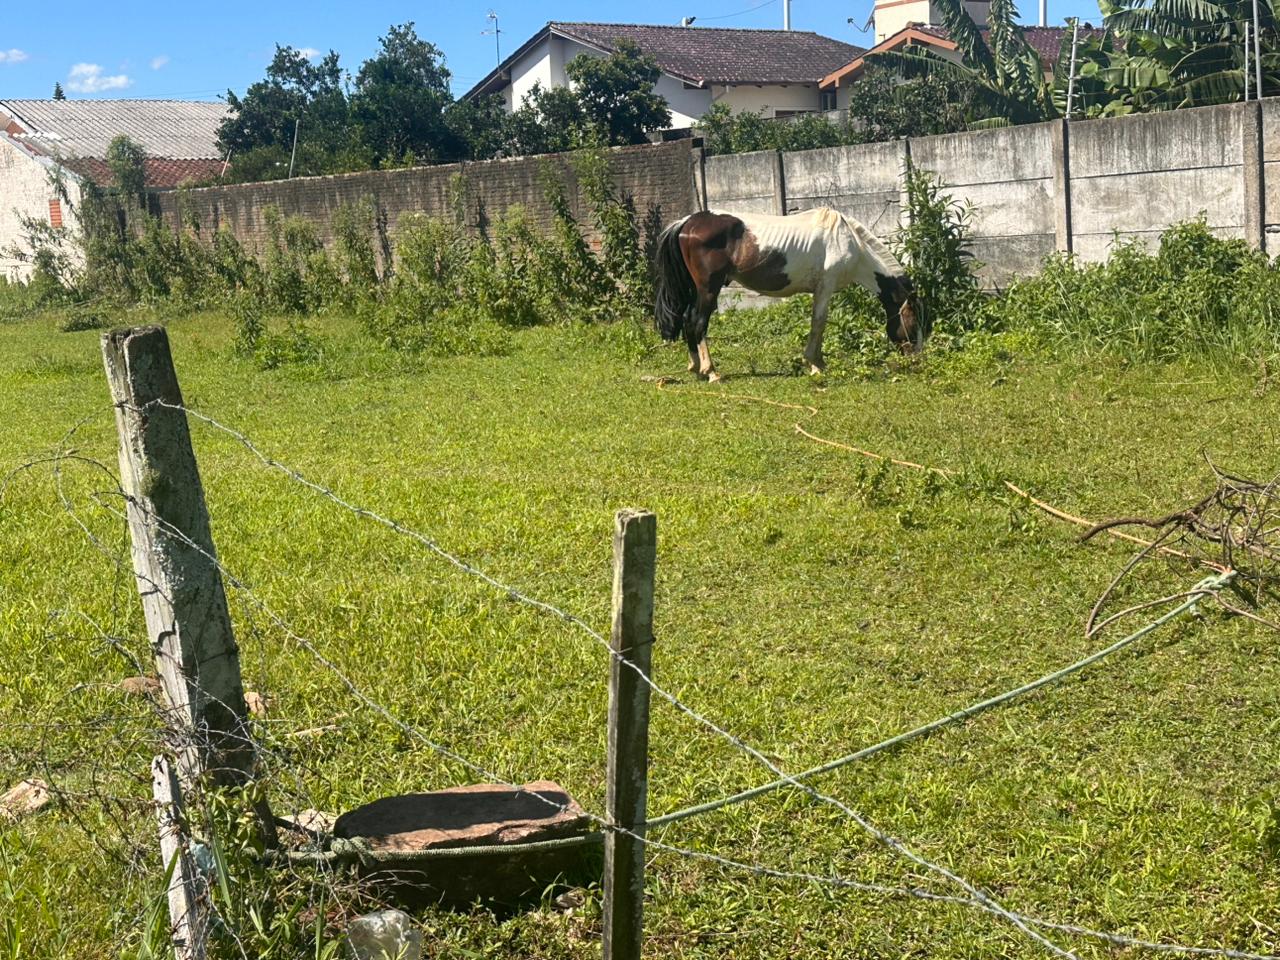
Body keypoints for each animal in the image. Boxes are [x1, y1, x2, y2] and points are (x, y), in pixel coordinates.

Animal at [652, 207, 925, 382]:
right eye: (913, 324)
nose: (916, 362)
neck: (849, 242)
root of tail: (688, 222)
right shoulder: (825, 287)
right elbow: (818, 323)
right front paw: (815, 365)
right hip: (708, 289)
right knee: (698, 322)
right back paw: (711, 372)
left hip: (696, 289)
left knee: (687, 320)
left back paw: (695, 366)